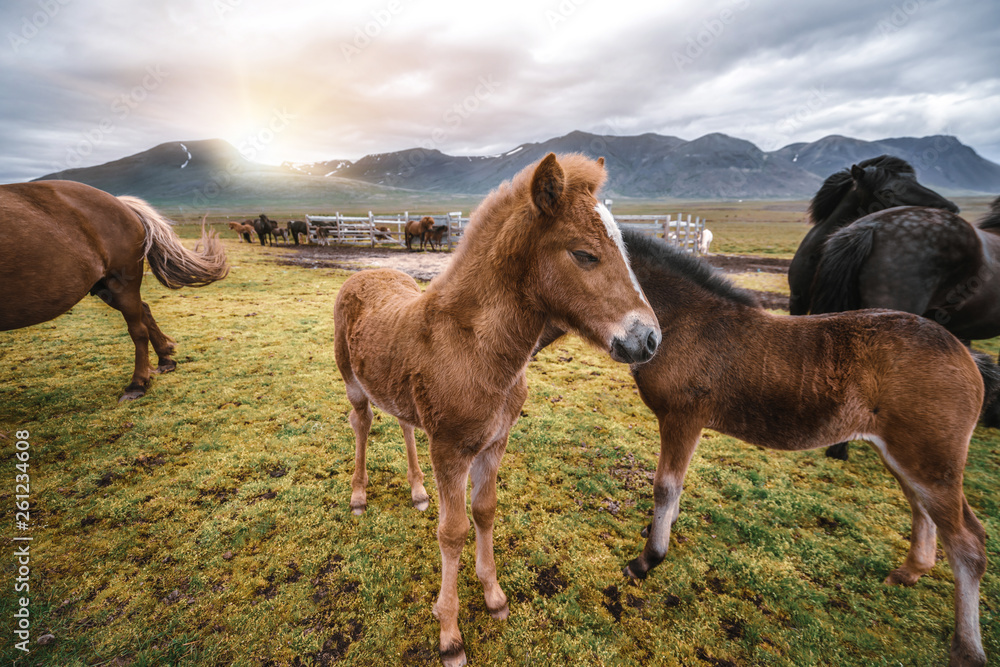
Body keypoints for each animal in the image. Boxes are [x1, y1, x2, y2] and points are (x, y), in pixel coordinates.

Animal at [0, 177, 229, 404]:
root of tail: (121, 203)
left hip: (120, 284)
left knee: (138, 330)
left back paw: (137, 384)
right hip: (104, 287)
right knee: (144, 310)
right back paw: (165, 360)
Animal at [336, 154, 664, 664]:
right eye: (584, 254)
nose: (648, 339)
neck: (476, 349)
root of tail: (363, 273)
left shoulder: (494, 442)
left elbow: (485, 510)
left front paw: (493, 596)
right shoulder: (450, 450)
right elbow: (451, 532)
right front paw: (449, 632)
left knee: (403, 426)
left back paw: (417, 491)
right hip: (353, 383)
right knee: (362, 424)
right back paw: (358, 495)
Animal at [536, 230, 988, 667]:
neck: (683, 321)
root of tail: (965, 356)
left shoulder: (683, 417)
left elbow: (666, 486)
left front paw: (648, 559)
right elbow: (677, 485)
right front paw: (658, 529)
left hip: (930, 460)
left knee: (967, 543)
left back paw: (966, 649)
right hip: (905, 455)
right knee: (922, 510)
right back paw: (910, 572)